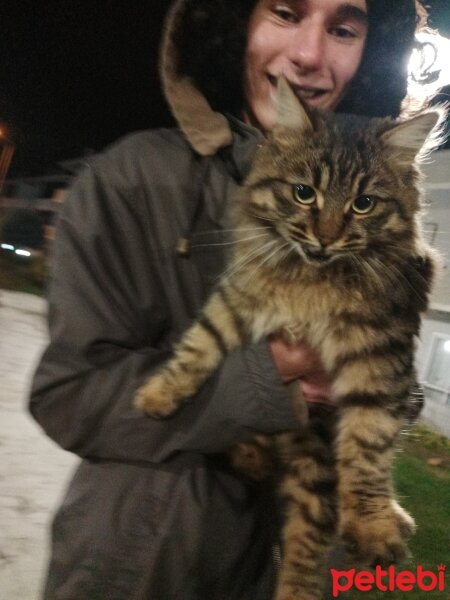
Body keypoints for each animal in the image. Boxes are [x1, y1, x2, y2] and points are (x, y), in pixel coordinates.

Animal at [134, 76, 442, 600]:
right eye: (303, 194)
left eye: (363, 204)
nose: (326, 237)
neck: (311, 280)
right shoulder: (239, 300)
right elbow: (198, 347)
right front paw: (158, 394)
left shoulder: (378, 359)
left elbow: (369, 448)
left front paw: (373, 524)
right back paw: (251, 455)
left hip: (317, 459)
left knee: (307, 542)